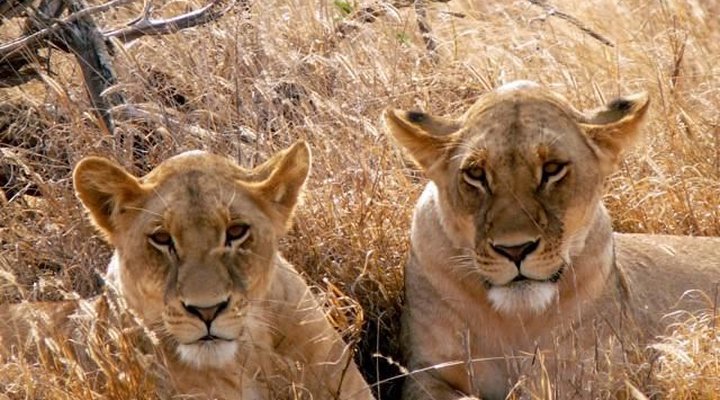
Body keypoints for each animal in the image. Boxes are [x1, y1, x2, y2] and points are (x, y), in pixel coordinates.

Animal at [383, 81, 720, 400]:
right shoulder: (425, 373)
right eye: (476, 174)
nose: (515, 249)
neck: (514, 323)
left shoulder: (594, 376)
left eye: (552, 169)